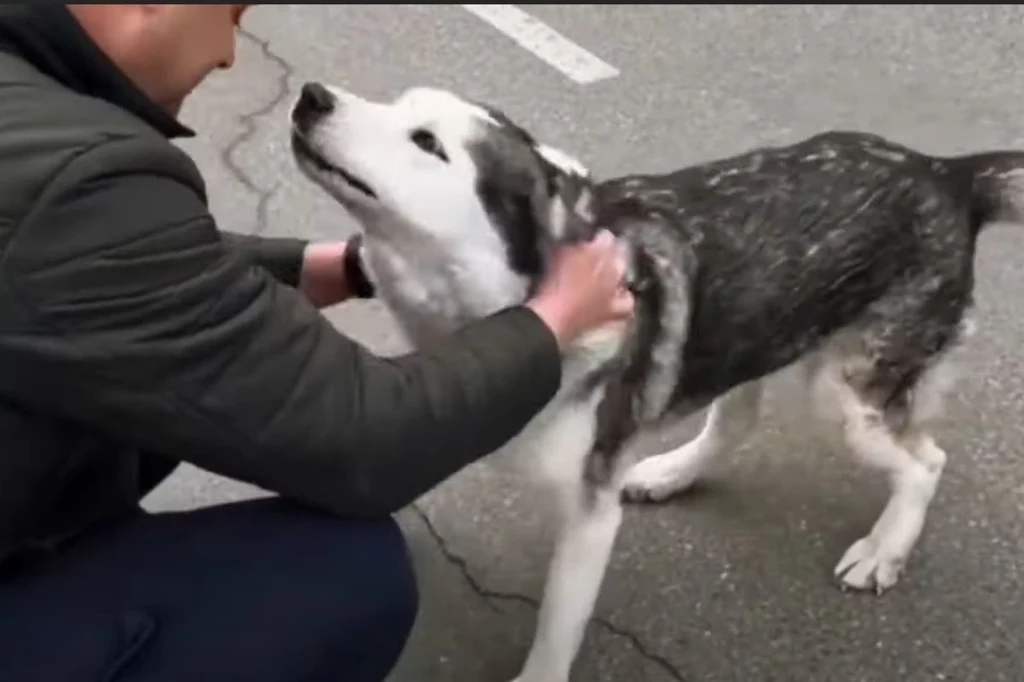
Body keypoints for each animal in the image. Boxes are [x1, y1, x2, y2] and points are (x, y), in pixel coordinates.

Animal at [288, 80, 1024, 679]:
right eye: (395, 105)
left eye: (426, 142)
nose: (311, 97)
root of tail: (946, 173)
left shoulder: (589, 514)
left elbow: (557, 629)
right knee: (738, 418)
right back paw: (672, 471)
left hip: (843, 393)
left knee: (925, 461)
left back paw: (885, 548)